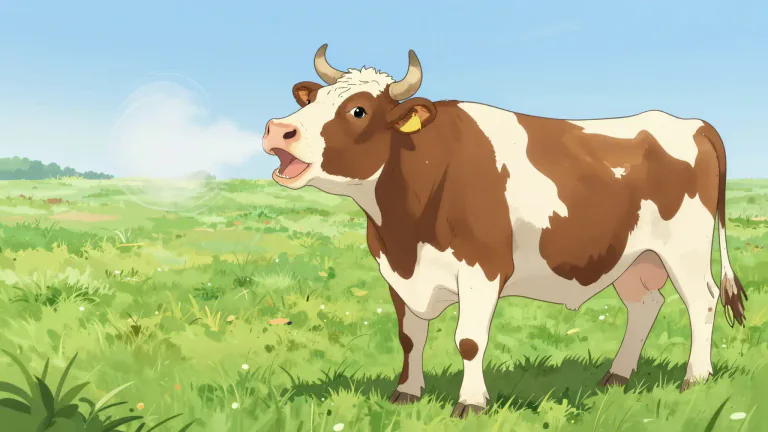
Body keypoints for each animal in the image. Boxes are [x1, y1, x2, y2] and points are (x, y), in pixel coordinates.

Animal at [261, 44, 748, 418]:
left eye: (358, 110)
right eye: (311, 101)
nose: (277, 130)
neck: (403, 230)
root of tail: (689, 123)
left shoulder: (483, 266)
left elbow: (469, 340)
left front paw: (471, 403)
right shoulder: (397, 273)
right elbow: (410, 336)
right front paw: (406, 393)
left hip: (684, 248)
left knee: (702, 301)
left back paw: (695, 378)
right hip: (633, 257)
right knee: (645, 305)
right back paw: (617, 376)